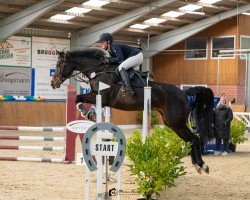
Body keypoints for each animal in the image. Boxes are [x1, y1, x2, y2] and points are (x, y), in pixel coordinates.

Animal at [51, 47, 215, 173]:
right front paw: (89, 114)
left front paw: (86, 113)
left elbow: (78, 98)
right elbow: (80, 100)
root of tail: (184, 93)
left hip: (176, 122)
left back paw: (202, 165)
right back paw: (197, 165)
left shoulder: (101, 96)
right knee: (191, 140)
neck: (98, 70)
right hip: (172, 123)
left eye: (59, 64)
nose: (53, 83)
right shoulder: (100, 98)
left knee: (194, 139)